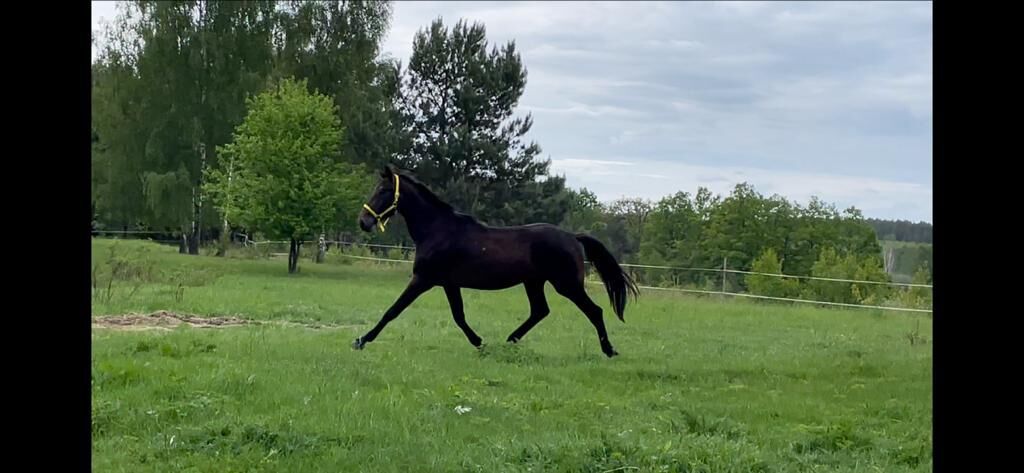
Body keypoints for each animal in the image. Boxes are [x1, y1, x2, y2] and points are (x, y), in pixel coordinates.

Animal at [353, 165, 639, 357]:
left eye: (383, 190)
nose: (363, 222)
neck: (438, 230)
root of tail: (572, 237)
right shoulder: (448, 283)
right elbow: (458, 316)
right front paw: (479, 342)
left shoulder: (423, 279)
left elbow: (393, 310)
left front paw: (361, 340)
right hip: (534, 282)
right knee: (540, 311)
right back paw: (510, 339)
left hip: (566, 284)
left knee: (594, 311)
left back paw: (609, 350)